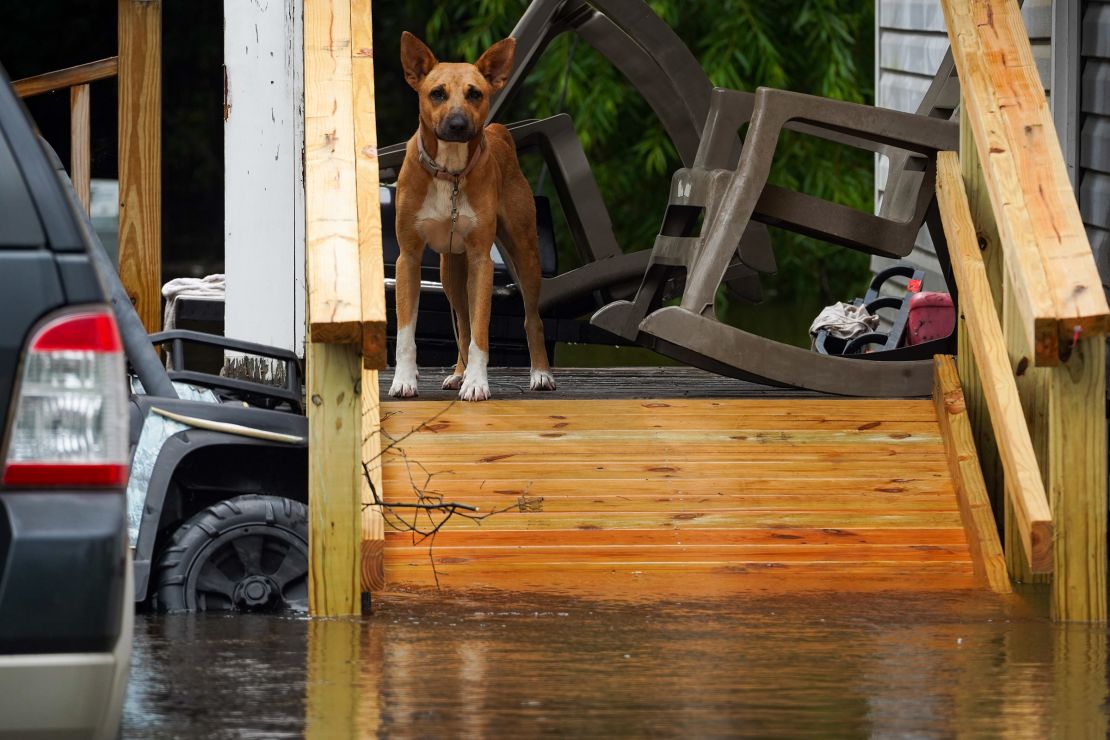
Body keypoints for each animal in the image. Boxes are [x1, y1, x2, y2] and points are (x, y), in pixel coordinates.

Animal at [392, 31, 559, 401]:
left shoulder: (482, 260)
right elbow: (407, 331)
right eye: (437, 93)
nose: (457, 124)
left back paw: (540, 373)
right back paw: (458, 373)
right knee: (463, 324)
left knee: (531, 318)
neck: (449, 172)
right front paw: (404, 380)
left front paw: (477, 383)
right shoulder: (408, 258)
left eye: (475, 93)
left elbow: (482, 328)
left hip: (525, 253)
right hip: (449, 270)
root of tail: (499, 132)